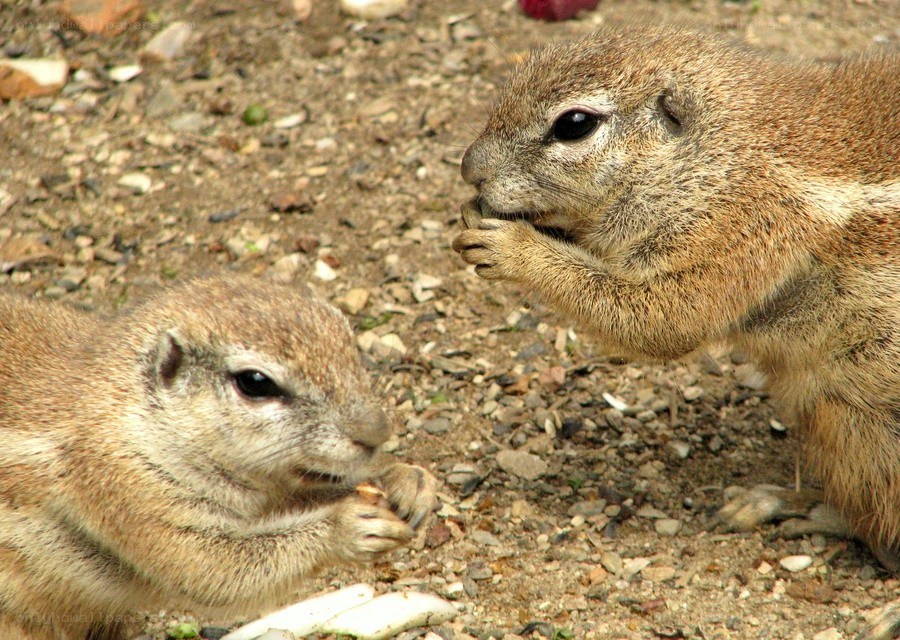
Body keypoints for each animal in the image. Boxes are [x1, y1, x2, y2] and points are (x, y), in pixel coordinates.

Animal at [0, 275, 436, 640]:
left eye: (350, 340)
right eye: (255, 383)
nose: (376, 432)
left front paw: (408, 481)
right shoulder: (127, 486)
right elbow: (213, 570)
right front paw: (348, 526)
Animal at [452, 27, 898, 638]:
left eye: (574, 124)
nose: (468, 170)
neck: (719, 153)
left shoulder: (739, 227)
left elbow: (661, 318)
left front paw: (512, 248)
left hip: (866, 427)